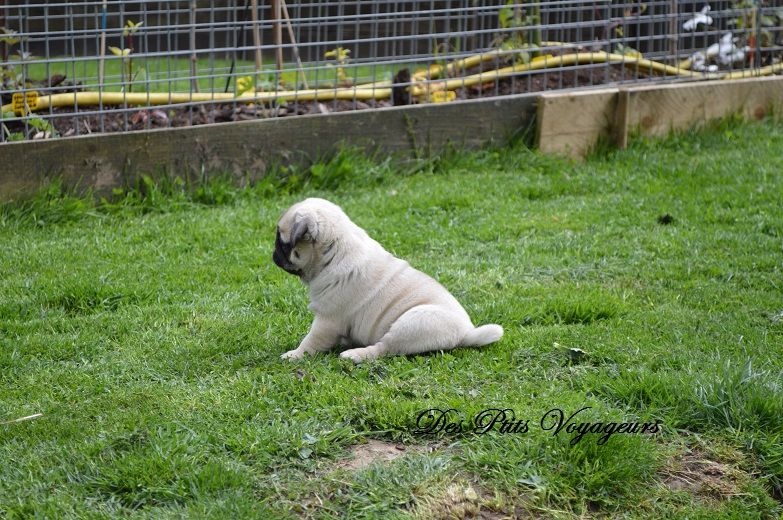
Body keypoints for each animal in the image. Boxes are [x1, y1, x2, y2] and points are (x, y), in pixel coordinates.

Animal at [272, 197, 506, 364]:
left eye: (282, 243)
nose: (273, 255)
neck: (335, 250)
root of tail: (466, 333)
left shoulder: (327, 320)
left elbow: (311, 341)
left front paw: (295, 355)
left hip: (411, 324)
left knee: (384, 348)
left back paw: (354, 355)